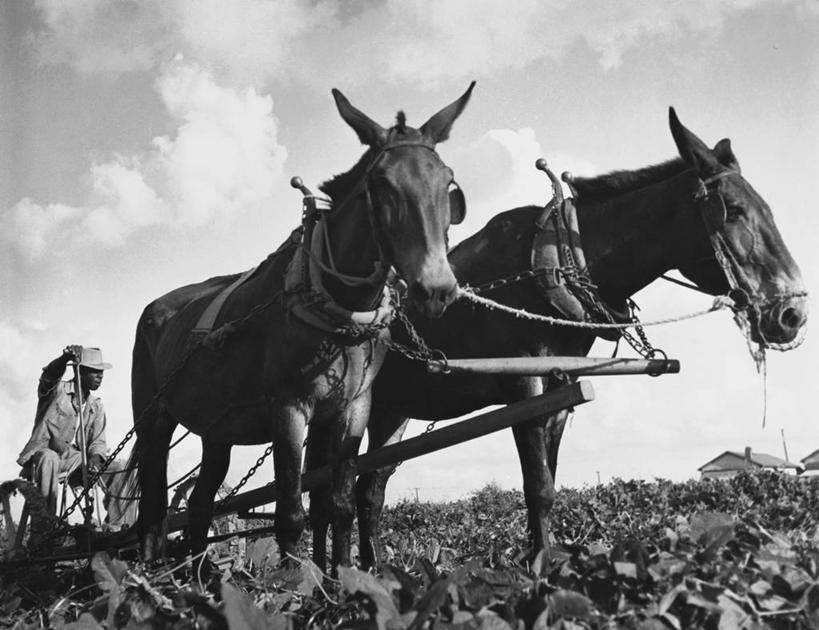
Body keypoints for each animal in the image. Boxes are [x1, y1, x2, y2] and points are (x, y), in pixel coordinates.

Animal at [128, 83, 475, 571]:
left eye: (448, 184)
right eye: (381, 184)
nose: (437, 287)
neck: (340, 307)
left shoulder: (354, 408)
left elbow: (339, 504)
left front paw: (344, 574)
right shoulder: (288, 408)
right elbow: (291, 510)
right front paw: (295, 580)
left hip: (217, 429)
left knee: (198, 502)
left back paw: (196, 573)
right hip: (153, 416)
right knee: (154, 504)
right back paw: (151, 569)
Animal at [346, 108, 808, 568]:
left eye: (767, 209)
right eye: (734, 210)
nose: (792, 314)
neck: (552, 263)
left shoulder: (560, 390)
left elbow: (549, 483)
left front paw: (545, 560)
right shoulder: (523, 385)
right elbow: (538, 487)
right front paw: (537, 569)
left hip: (392, 411)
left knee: (370, 487)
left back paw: (372, 569)